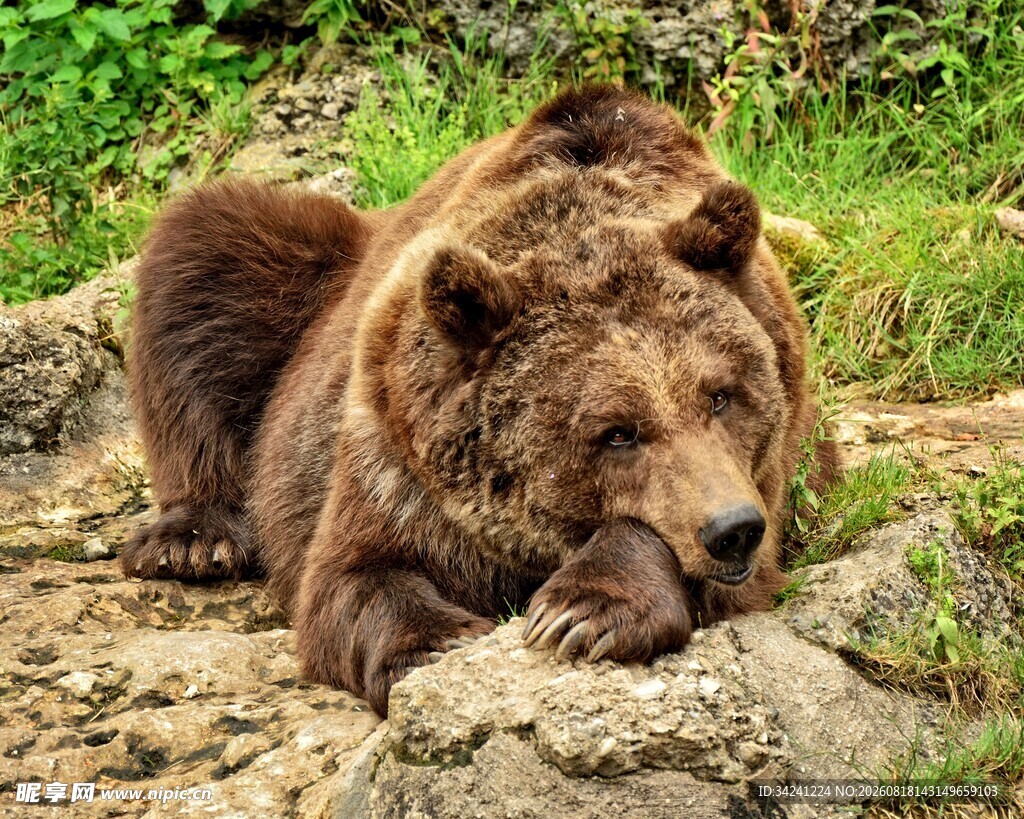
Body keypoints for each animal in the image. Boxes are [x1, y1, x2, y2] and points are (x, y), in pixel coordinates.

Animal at [121, 84, 839, 717]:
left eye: (721, 395)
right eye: (616, 431)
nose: (731, 529)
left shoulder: (774, 474)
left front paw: (581, 613)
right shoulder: (396, 459)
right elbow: (349, 579)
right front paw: (435, 643)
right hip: (307, 285)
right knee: (205, 250)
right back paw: (194, 540)